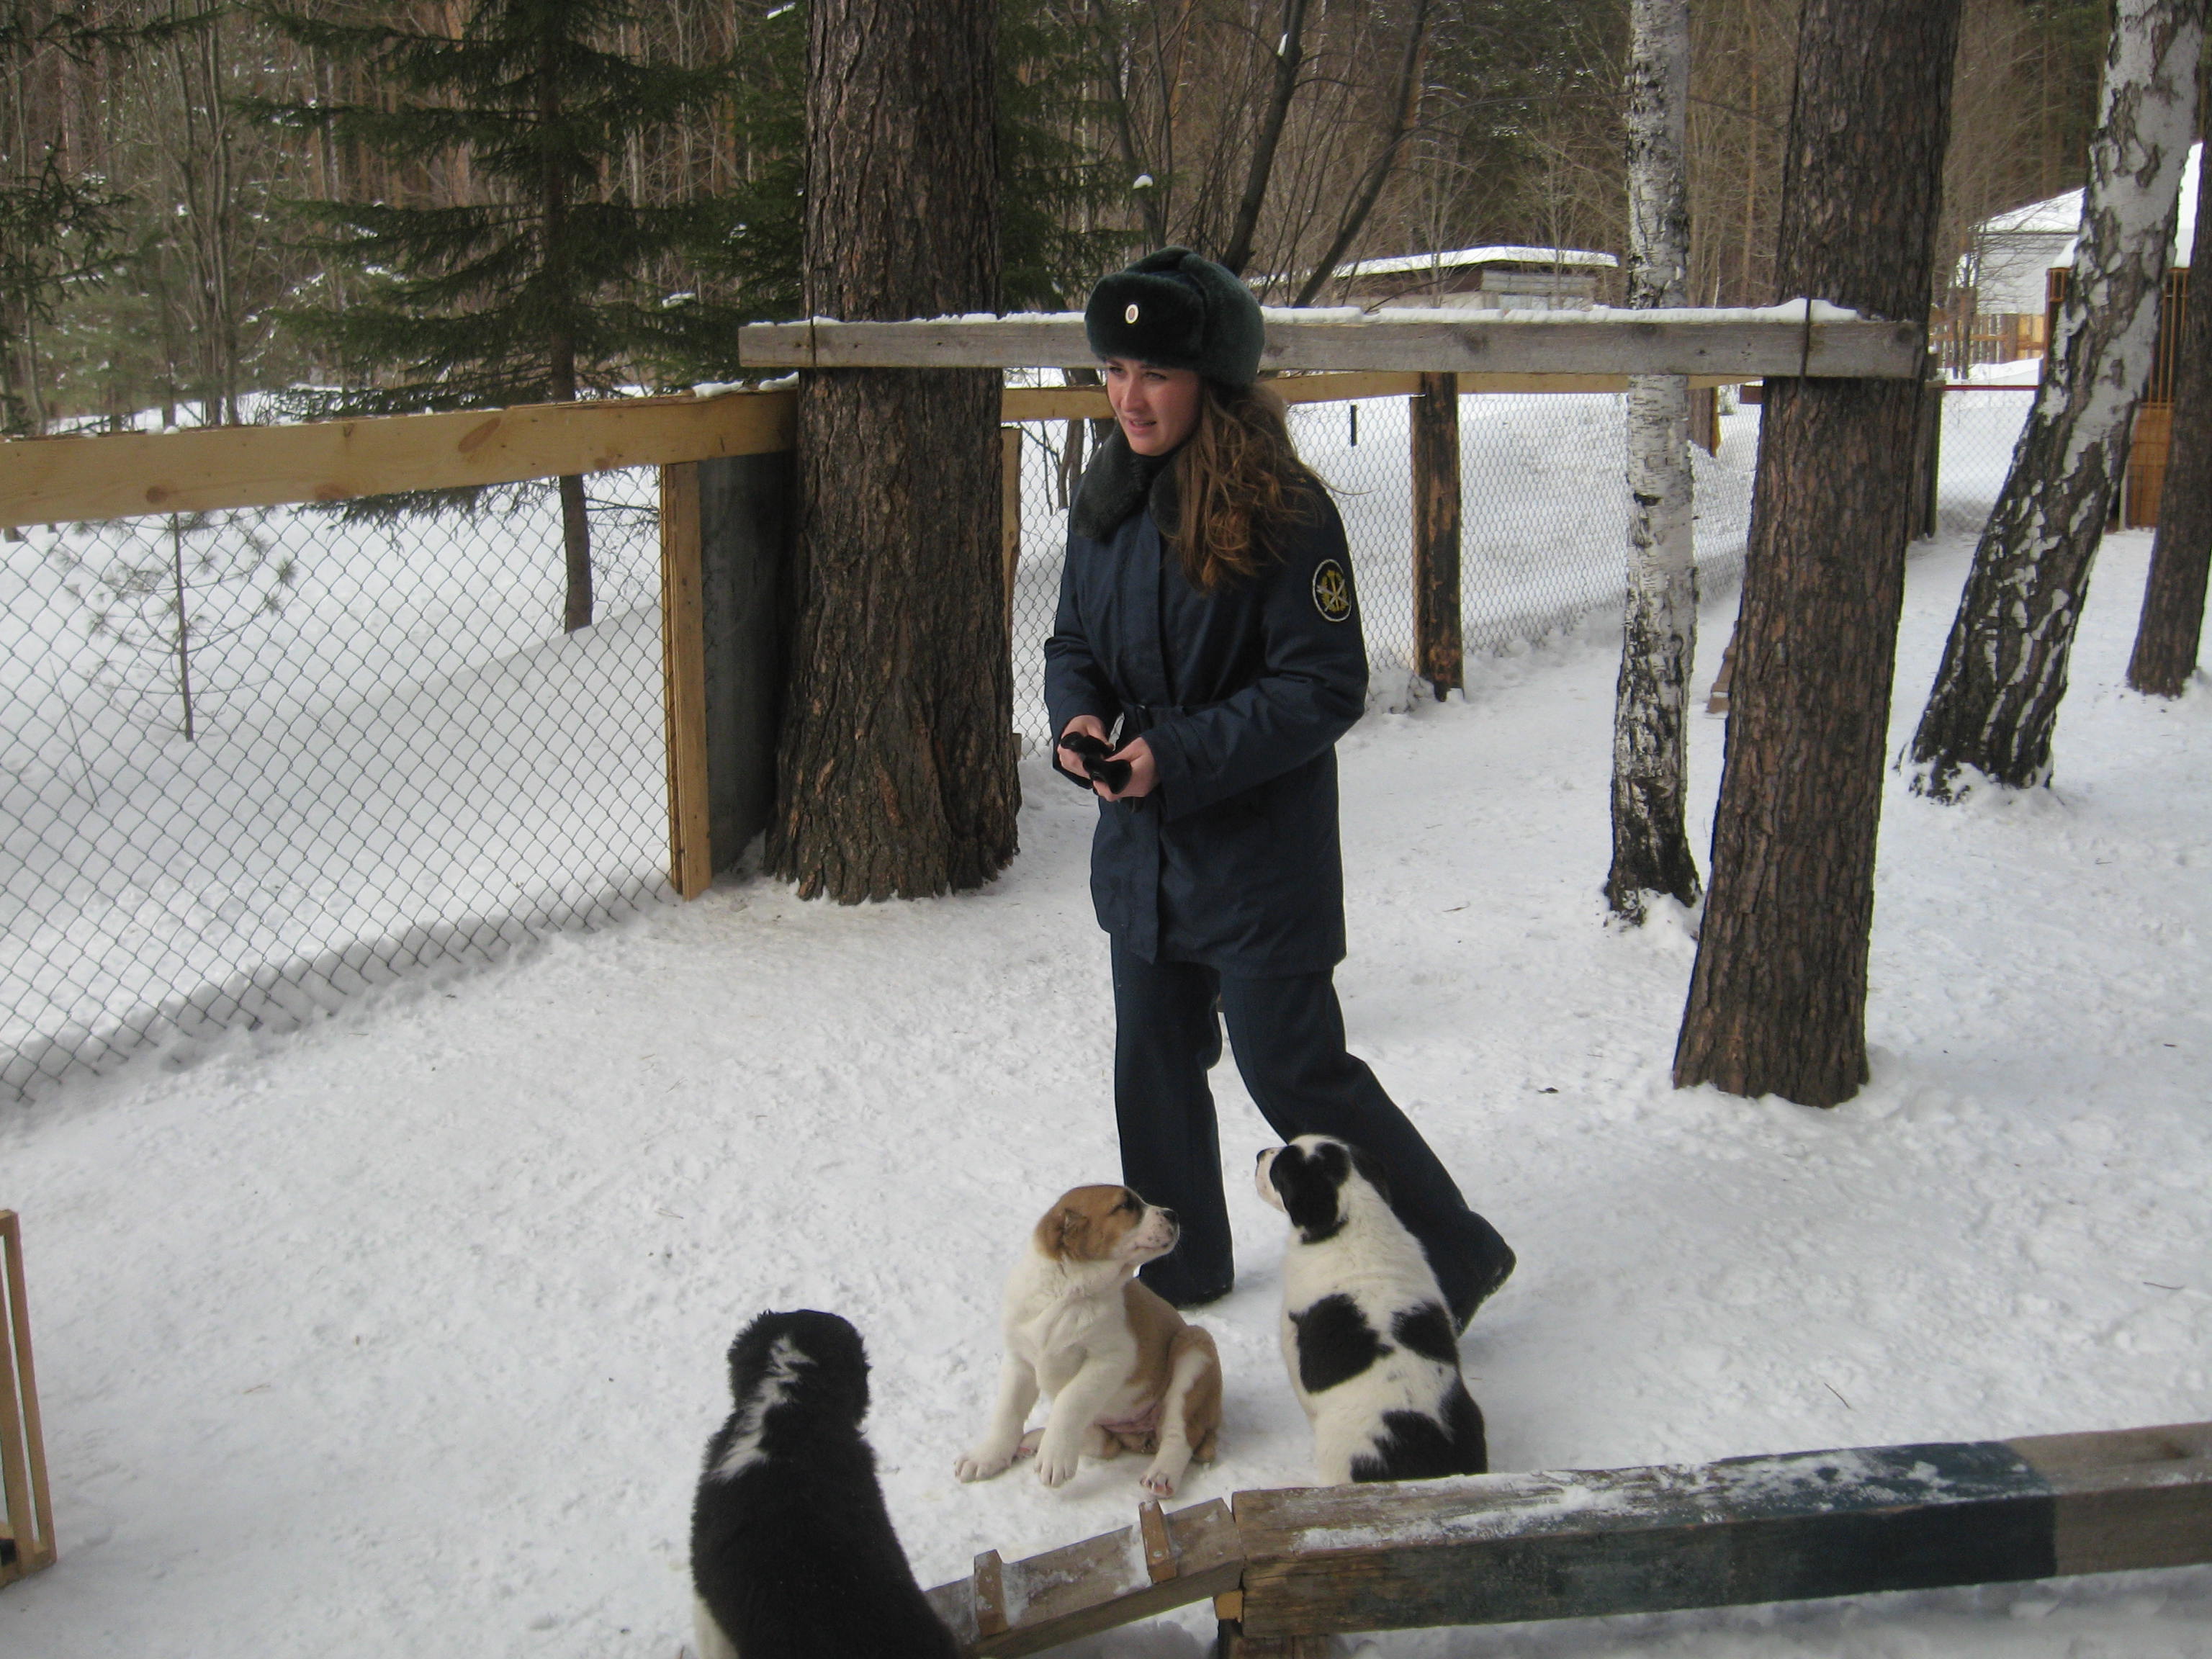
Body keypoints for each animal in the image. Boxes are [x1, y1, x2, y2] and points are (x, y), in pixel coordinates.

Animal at [956, 1185, 1230, 1503]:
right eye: (1126, 1206)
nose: (1173, 1214)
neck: (1065, 1292)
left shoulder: (1111, 1360)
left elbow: (1070, 1400)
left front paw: (1054, 1457)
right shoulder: (1019, 1361)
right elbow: (1007, 1412)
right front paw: (988, 1456)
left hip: (1195, 1348)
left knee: (1180, 1433)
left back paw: (1161, 1475)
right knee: (1104, 1443)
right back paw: (1037, 1440)